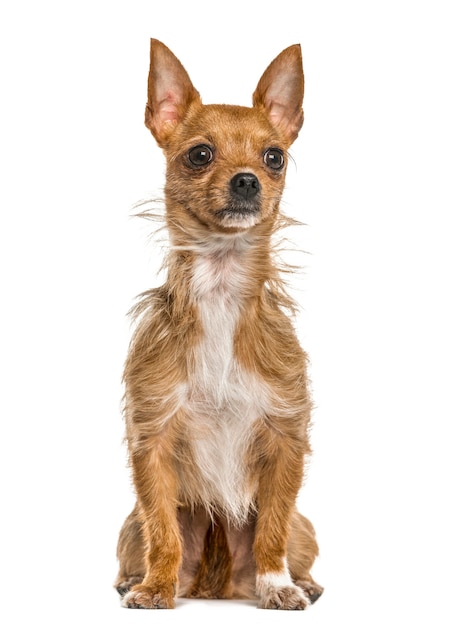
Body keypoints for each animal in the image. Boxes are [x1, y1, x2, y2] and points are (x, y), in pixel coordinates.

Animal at [115, 40, 324, 608]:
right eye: (200, 154)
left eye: (274, 157)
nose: (247, 179)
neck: (222, 291)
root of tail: (217, 584)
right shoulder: (152, 439)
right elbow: (163, 527)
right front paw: (156, 587)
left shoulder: (285, 438)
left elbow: (271, 525)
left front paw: (276, 586)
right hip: (128, 527)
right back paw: (137, 579)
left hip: (305, 527)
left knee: (291, 538)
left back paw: (302, 582)